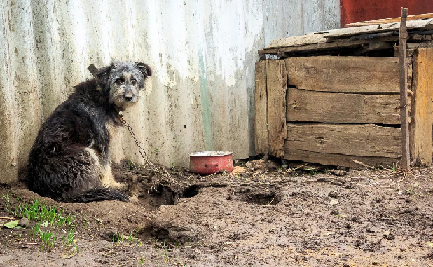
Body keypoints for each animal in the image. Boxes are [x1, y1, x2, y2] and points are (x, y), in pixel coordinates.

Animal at [26, 61, 152, 203]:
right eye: (118, 80)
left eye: (134, 81)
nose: (129, 97)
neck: (104, 95)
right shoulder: (101, 142)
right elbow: (106, 167)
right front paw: (111, 185)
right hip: (86, 153)